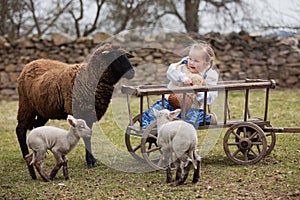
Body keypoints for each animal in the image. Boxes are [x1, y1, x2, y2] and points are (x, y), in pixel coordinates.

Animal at [15, 43, 134, 180]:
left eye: (126, 56)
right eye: (115, 58)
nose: (132, 73)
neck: (89, 77)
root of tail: (29, 64)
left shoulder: (89, 113)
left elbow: (88, 135)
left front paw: (91, 159)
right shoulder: (81, 112)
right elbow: (86, 137)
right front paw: (91, 161)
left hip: (43, 110)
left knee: (36, 126)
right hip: (26, 105)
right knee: (20, 129)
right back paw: (25, 154)